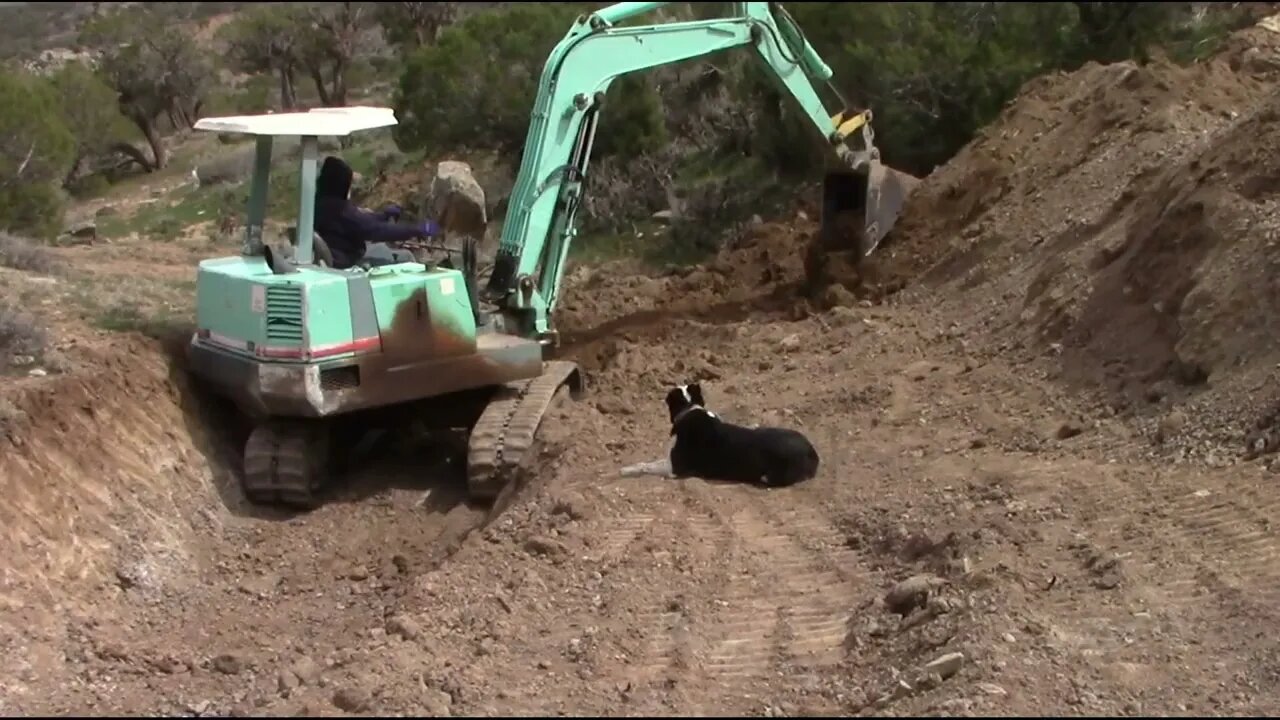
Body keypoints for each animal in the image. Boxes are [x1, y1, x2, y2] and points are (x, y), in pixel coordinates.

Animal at [619, 379, 819, 484]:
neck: (690, 408)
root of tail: (812, 452)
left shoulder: (673, 467)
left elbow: (645, 465)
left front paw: (626, 470)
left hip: (768, 476)